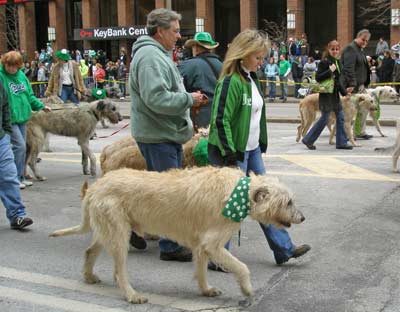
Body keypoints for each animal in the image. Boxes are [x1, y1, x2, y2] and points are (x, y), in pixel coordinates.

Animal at [50, 167, 306, 304]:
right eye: (288, 202)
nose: (302, 218)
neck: (239, 194)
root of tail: (95, 186)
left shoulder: (201, 244)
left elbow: (201, 268)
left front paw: (205, 289)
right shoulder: (213, 243)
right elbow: (242, 267)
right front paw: (247, 289)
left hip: (107, 229)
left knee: (90, 250)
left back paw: (89, 276)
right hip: (118, 232)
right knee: (118, 270)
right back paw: (132, 294)